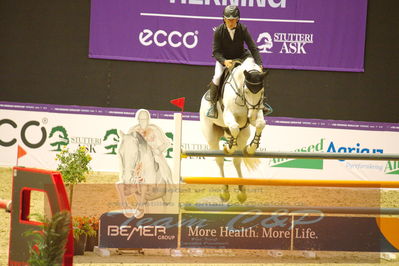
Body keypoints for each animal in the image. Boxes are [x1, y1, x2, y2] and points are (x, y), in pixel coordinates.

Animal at [200, 57, 268, 202]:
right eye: (247, 91)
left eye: (262, 92)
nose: (251, 116)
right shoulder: (229, 115)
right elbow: (235, 127)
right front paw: (228, 147)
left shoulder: (257, 112)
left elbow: (260, 124)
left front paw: (251, 148)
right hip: (211, 136)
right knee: (219, 160)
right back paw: (224, 191)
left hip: (244, 134)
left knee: (237, 161)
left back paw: (242, 191)